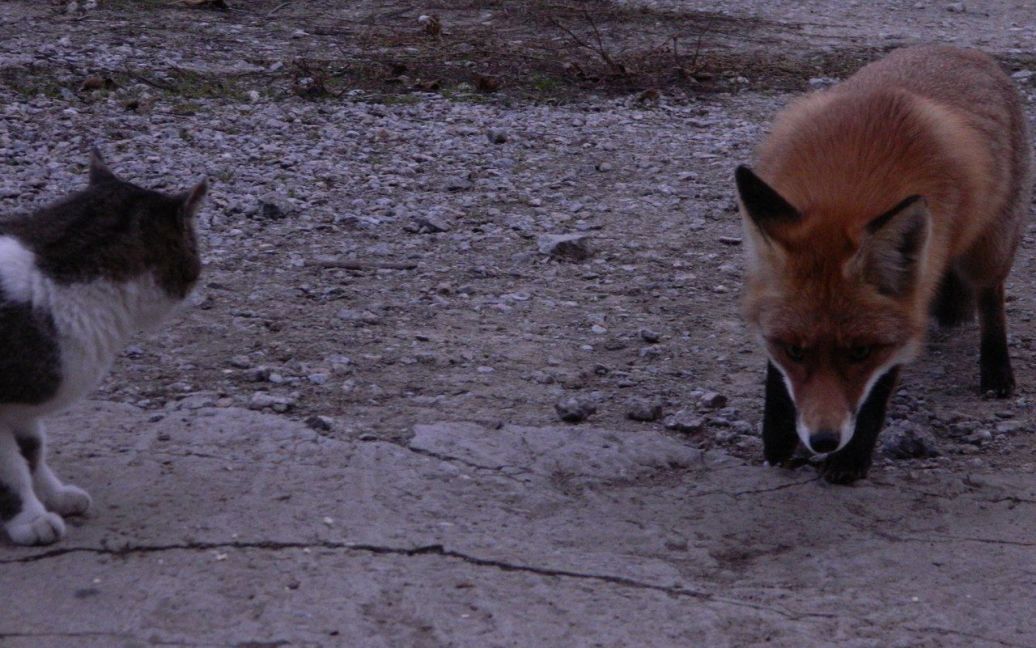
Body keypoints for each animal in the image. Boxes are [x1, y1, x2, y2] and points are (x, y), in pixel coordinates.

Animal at [0, 151, 206, 547]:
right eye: (194, 254)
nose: (195, 285)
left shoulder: (23, 402)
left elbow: (33, 449)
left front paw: (54, 495)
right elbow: (9, 470)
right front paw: (31, 518)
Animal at [733, 44, 1031, 481]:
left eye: (861, 352)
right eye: (794, 351)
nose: (824, 440)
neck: (848, 184)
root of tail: (964, 50)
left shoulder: (910, 300)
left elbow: (880, 387)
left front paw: (850, 460)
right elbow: (777, 377)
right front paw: (778, 437)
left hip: (988, 250)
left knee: (991, 299)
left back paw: (996, 369)